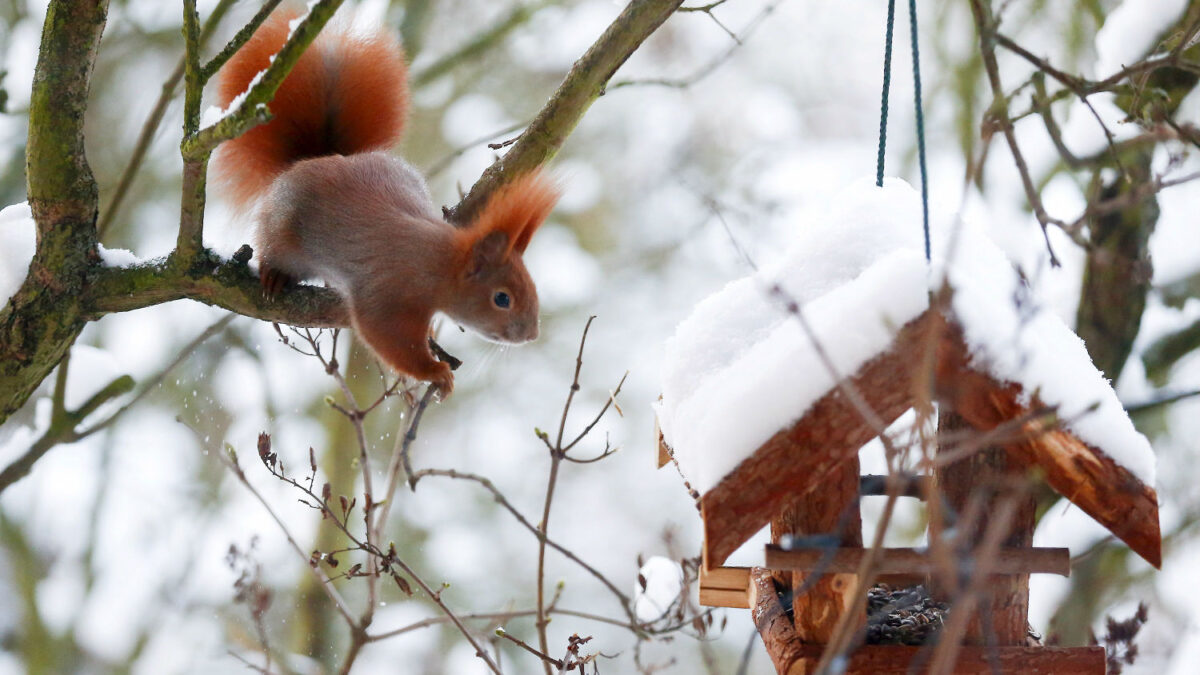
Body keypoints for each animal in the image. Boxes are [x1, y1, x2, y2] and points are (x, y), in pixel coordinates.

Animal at [213, 10, 559, 393]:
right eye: (502, 298)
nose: (531, 334)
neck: (440, 262)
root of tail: (318, 159)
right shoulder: (390, 291)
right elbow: (388, 337)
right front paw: (435, 371)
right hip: (281, 227)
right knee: (272, 247)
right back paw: (274, 274)